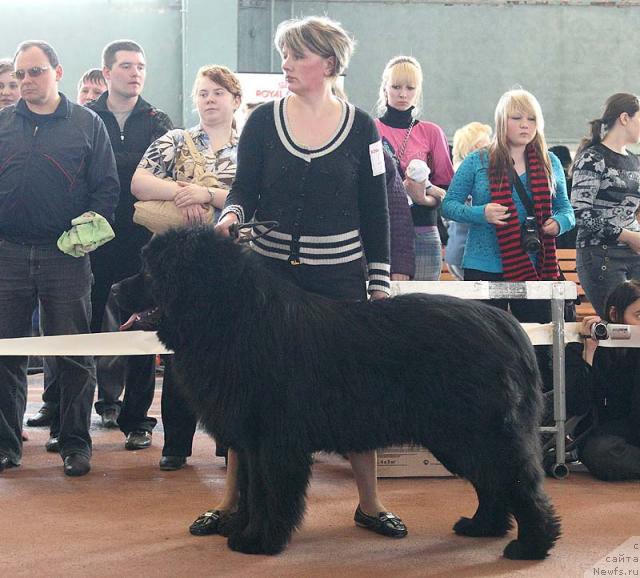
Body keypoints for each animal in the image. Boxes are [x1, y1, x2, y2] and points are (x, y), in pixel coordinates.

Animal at [136, 227, 560, 556]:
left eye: (152, 272)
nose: (122, 286)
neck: (232, 317)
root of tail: (507, 325)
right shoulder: (253, 443)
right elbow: (252, 491)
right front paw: (246, 532)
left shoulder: (274, 443)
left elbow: (270, 493)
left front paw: (260, 542)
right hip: (458, 438)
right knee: (492, 482)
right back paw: (481, 526)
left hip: (477, 432)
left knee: (519, 482)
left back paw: (531, 546)